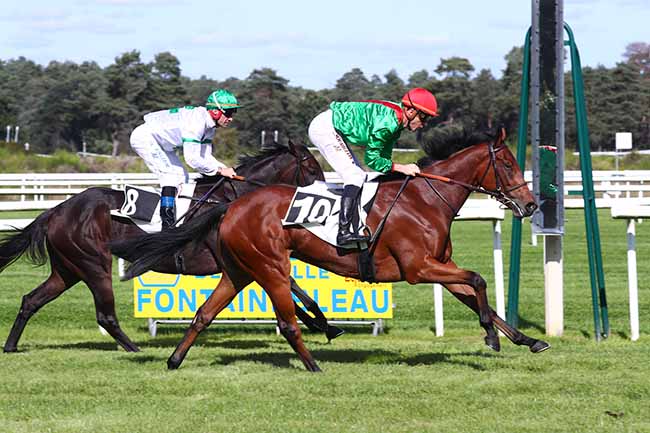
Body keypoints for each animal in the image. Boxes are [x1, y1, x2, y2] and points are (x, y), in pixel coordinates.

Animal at [0, 141, 326, 353]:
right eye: (312, 167)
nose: (326, 192)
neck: (232, 201)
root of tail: (56, 211)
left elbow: (291, 288)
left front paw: (319, 322)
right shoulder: (240, 260)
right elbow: (289, 287)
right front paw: (320, 323)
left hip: (67, 269)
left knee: (31, 300)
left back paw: (11, 346)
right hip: (93, 264)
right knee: (105, 315)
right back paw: (134, 349)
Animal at [112, 128, 550, 372]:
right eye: (508, 165)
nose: (530, 205)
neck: (426, 199)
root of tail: (232, 206)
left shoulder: (439, 264)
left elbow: (476, 293)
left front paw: (527, 340)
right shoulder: (419, 268)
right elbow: (478, 281)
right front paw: (491, 337)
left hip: (239, 270)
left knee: (204, 313)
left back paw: (174, 360)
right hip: (270, 265)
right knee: (287, 320)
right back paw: (313, 364)